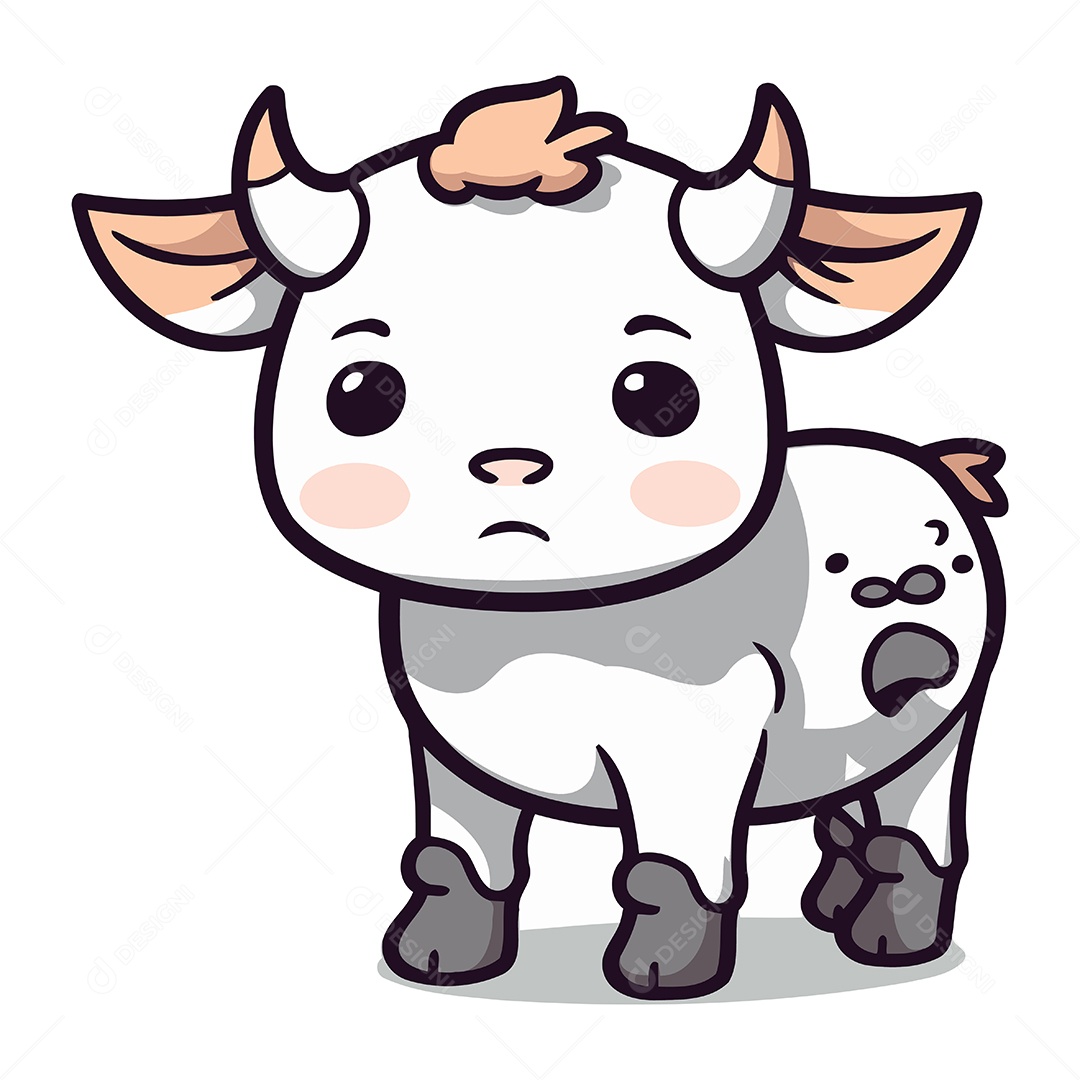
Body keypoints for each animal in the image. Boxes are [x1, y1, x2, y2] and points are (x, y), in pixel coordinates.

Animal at [73, 77, 1005, 999]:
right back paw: (830, 905)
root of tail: (930, 463)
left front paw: (660, 970)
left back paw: (890, 939)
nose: (511, 464)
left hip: (944, 710)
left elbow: (670, 866)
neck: (537, 624)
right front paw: (439, 956)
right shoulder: (447, 745)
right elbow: (453, 856)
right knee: (843, 800)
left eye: (656, 392)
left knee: (911, 824)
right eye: (361, 393)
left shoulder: (697, 738)